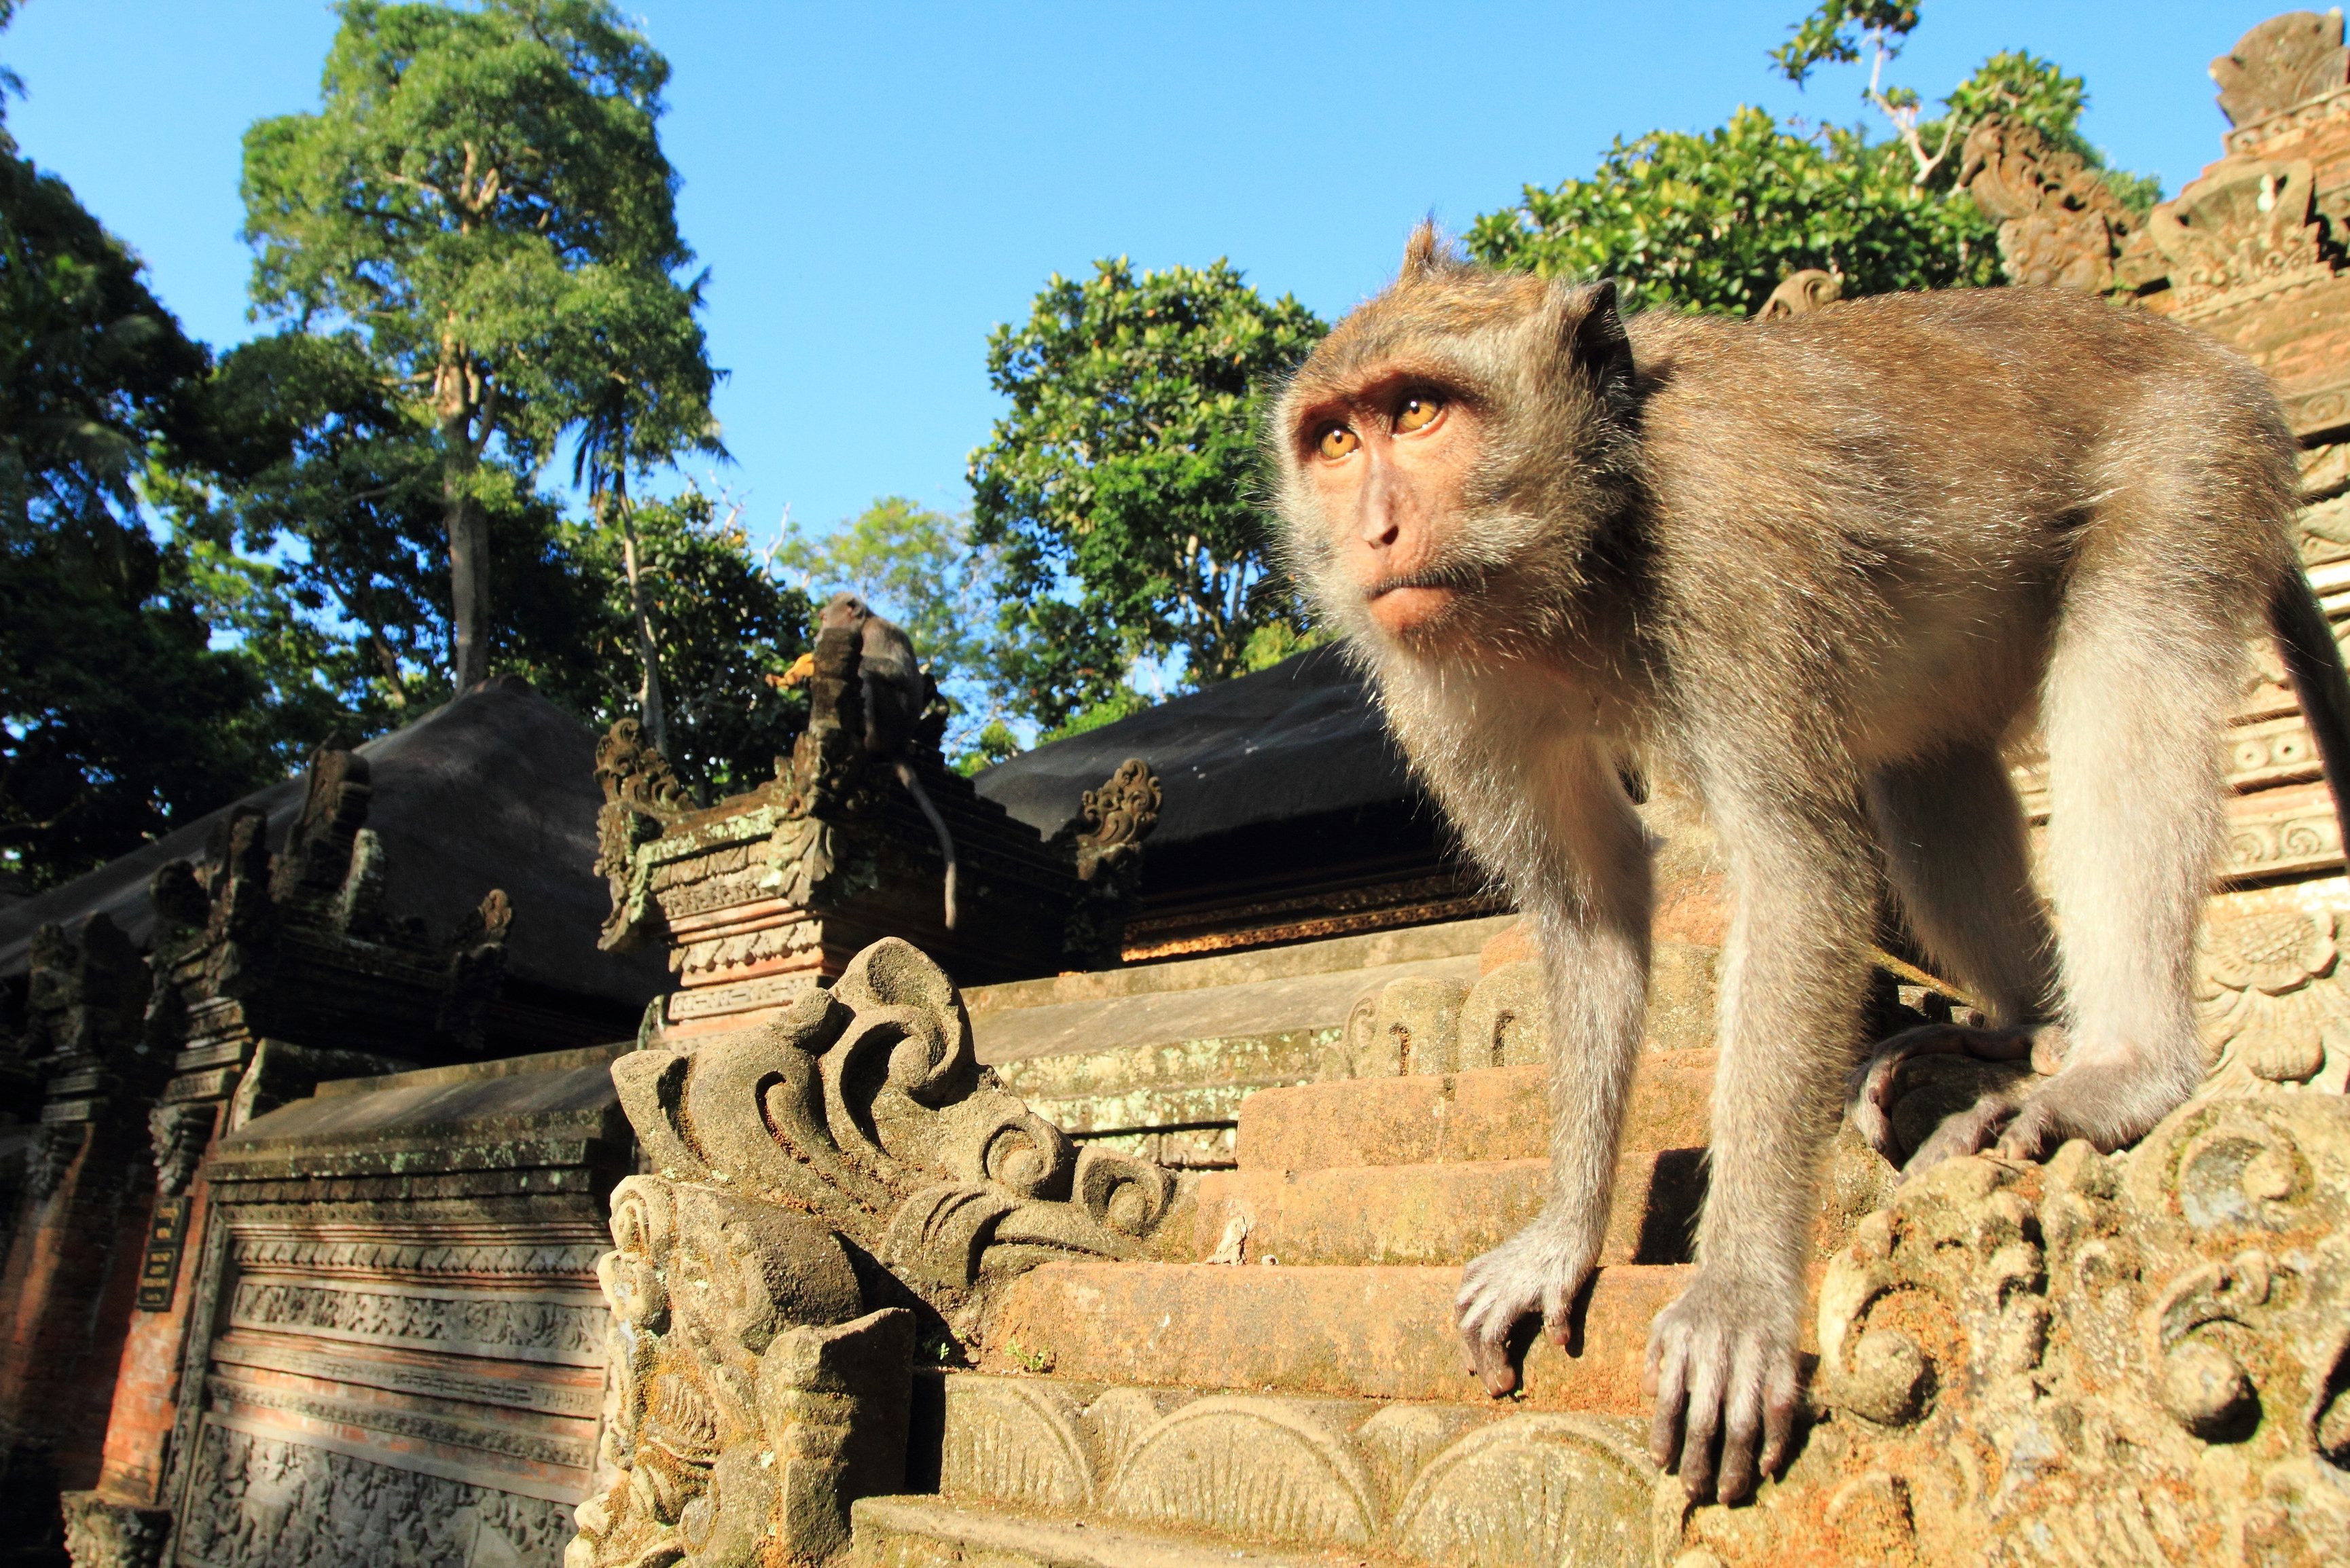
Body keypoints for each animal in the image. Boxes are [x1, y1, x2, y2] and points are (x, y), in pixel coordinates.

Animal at [819, 591, 960, 930]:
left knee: (868, 679)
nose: (819, 633)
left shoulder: (880, 634)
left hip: (886, 725)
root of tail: (897, 746)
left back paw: (866, 746)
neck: (864, 625)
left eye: (824, 618)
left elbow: (894, 671)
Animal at [1269, 226, 2350, 1505]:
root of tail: (2206, 354)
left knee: (2126, 681)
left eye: (1420, 412)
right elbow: (1589, 906)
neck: (1587, 541)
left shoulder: (1731, 529)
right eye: (1338, 440)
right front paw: (1566, 1232)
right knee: (1925, 768)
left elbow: (1794, 869)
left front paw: (1738, 1296)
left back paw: (2127, 1064)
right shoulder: (1436, 668)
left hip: (2196, 458)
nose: (1374, 534)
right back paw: (2015, 1025)